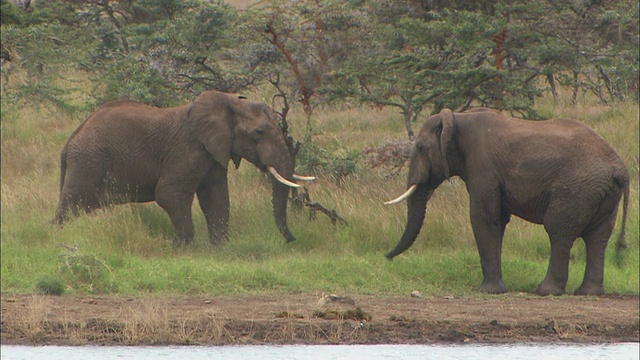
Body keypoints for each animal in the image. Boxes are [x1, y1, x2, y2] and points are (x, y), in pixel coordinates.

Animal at [55, 91, 316, 246]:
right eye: (259, 132)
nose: (293, 239)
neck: (228, 102)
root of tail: (70, 141)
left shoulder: (214, 152)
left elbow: (216, 197)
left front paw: (220, 247)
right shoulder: (189, 149)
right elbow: (169, 194)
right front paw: (179, 247)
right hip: (89, 161)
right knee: (72, 203)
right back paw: (57, 237)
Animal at [384, 108, 632, 296]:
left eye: (420, 148)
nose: (387, 257)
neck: (458, 117)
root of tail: (620, 168)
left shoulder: (483, 168)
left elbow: (484, 218)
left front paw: (489, 291)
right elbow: (499, 221)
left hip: (576, 191)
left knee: (559, 232)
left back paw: (545, 291)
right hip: (602, 194)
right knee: (598, 238)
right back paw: (588, 292)